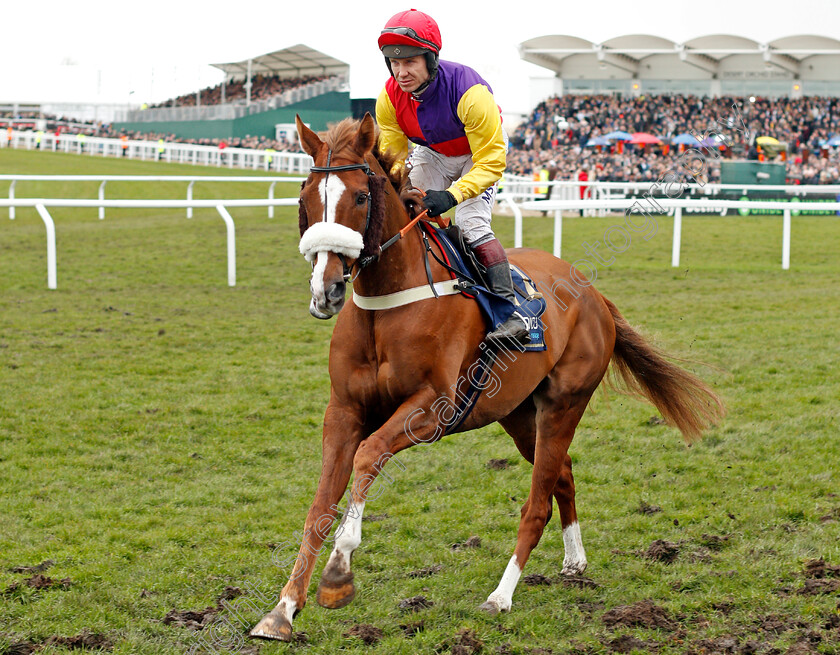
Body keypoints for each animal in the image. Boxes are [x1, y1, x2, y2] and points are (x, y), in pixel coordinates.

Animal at [248, 113, 720, 640]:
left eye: (361, 197)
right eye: (305, 197)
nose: (327, 290)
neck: (389, 302)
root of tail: (594, 296)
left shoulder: (432, 409)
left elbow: (368, 455)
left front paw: (338, 571)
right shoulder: (344, 409)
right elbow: (319, 506)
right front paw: (283, 610)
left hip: (564, 403)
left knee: (537, 502)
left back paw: (501, 595)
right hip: (517, 413)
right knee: (563, 474)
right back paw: (574, 561)